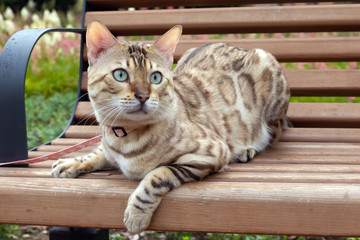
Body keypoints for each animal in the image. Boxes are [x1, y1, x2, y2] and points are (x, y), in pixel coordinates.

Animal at [52, 20, 292, 234]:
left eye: (156, 77)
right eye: (120, 74)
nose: (143, 95)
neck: (125, 138)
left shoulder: (212, 152)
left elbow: (158, 175)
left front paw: (136, 215)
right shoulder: (109, 149)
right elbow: (95, 153)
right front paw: (69, 163)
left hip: (268, 80)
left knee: (273, 135)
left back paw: (247, 149)